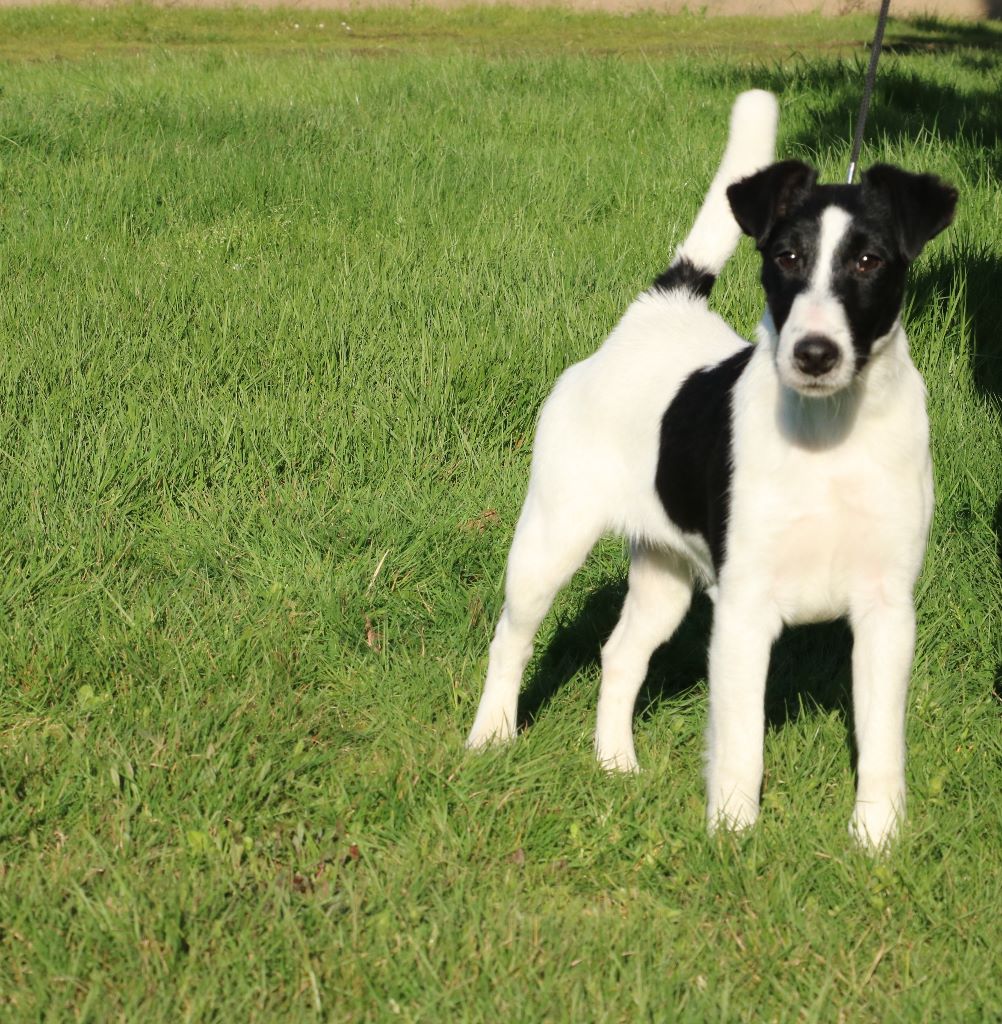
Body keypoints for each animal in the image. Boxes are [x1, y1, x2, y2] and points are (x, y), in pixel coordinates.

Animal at [466, 90, 957, 847]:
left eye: (870, 261)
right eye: (786, 257)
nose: (814, 353)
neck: (828, 438)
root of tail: (655, 313)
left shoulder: (886, 611)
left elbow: (882, 744)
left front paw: (876, 841)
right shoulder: (745, 610)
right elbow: (742, 739)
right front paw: (732, 834)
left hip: (666, 574)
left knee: (620, 655)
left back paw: (614, 761)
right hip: (550, 541)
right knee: (509, 642)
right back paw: (491, 736)